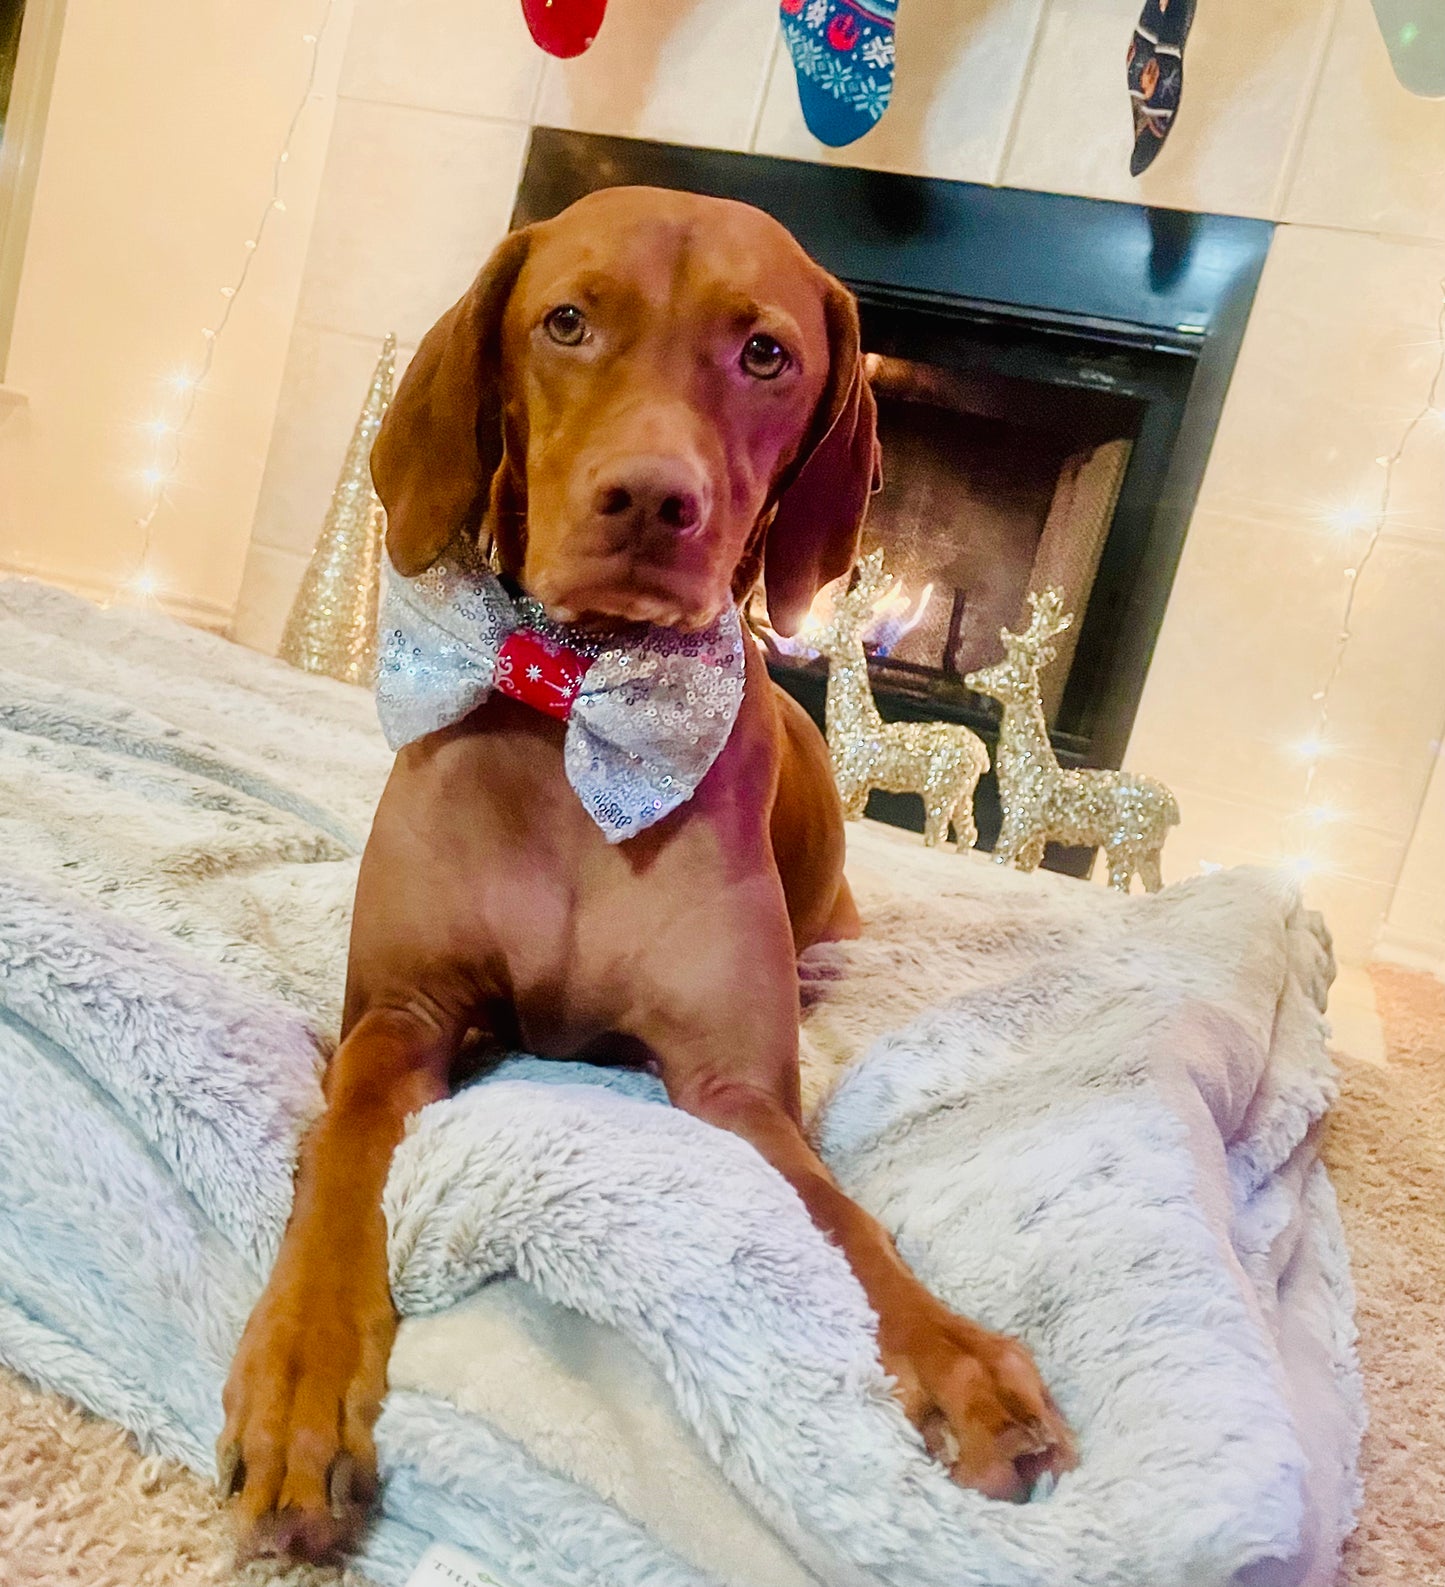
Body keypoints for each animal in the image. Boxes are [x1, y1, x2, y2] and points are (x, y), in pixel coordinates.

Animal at [214, 185, 1072, 1561]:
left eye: (764, 352)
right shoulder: (396, 1017)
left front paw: (954, 1354)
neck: (584, 704)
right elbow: (342, 1165)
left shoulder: (735, 1088)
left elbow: (839, 1218)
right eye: (566, 321)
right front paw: (299, 1385)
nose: (650, 499)